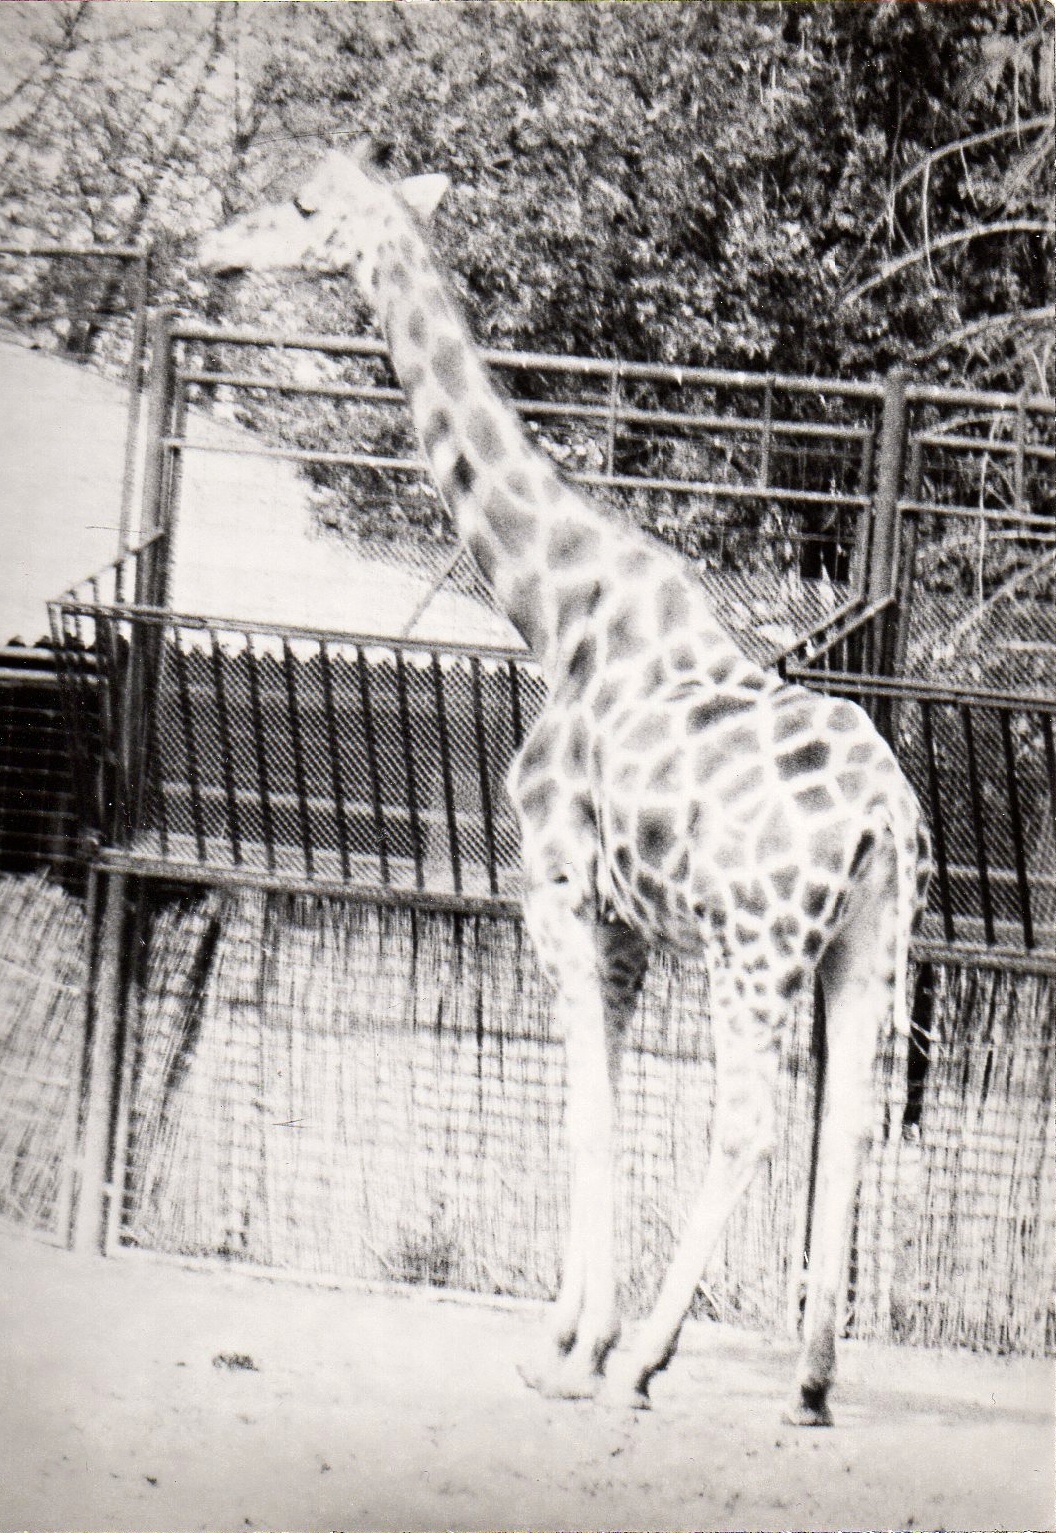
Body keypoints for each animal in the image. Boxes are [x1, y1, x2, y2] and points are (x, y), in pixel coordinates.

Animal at [200, 143, 932, 1427]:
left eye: (297, 203)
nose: (209, 248)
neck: (553, 609)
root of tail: (890, 818)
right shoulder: (629, 926)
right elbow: (609, 1100)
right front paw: (570, 1332)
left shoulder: (554, 889)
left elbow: (583, 1113)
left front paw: (575, 1350)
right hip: (866, 945)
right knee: (845, 1122)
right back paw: (807, 1381)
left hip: (755, 947)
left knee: (751, 1123)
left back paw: (648, 1364)